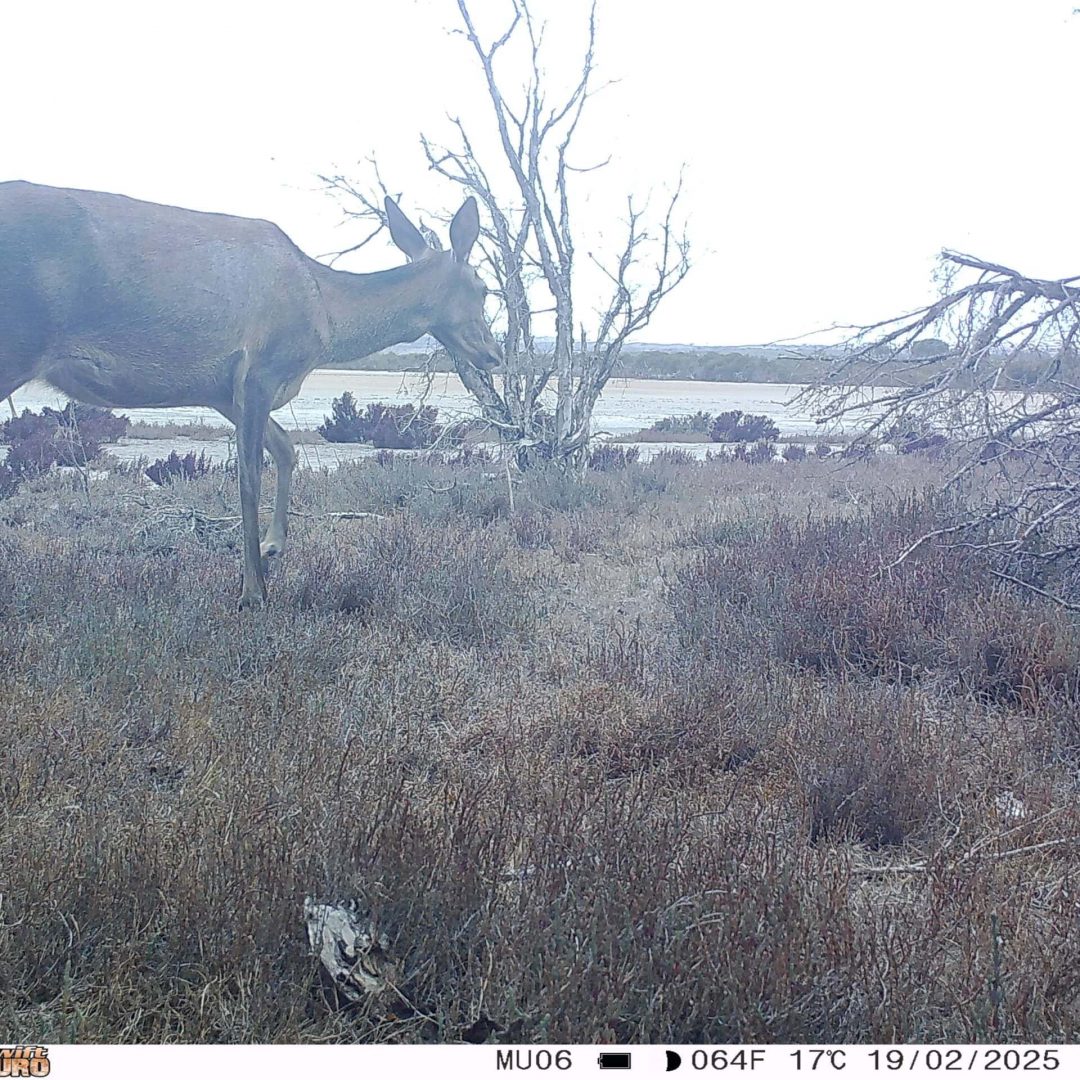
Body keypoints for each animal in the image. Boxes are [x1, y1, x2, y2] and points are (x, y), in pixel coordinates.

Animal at [0, 181, 501, 608]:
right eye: (483, 288)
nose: (494, 354)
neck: (327, 313)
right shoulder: (262, 369)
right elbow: (247, 479)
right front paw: (253, 591)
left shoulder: (225, 389)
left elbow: (285, 449)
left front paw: (273, 545)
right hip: (17, 343)